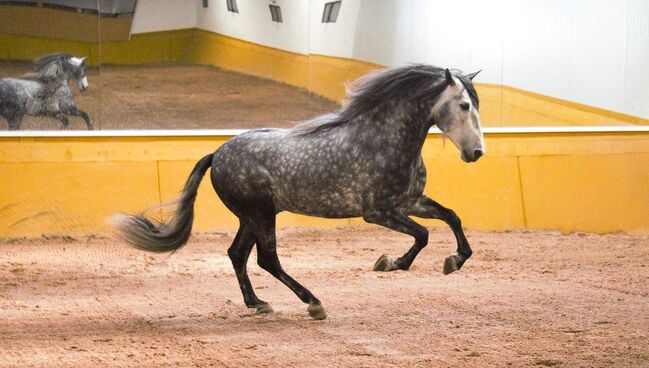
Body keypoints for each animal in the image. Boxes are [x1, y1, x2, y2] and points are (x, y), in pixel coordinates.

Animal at [114, 64, 484, 320]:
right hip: (260, 214)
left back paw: (258, 303)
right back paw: (314, 303)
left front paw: (454, 260)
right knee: (266, 259)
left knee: (237, 254)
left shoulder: (410, 202)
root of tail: (217, 153)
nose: (477, 152)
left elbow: (451, 217)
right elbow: (423, 234)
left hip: (252, 216)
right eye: (464, 105)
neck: (384, 140)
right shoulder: (378, 212)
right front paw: (391, 263)